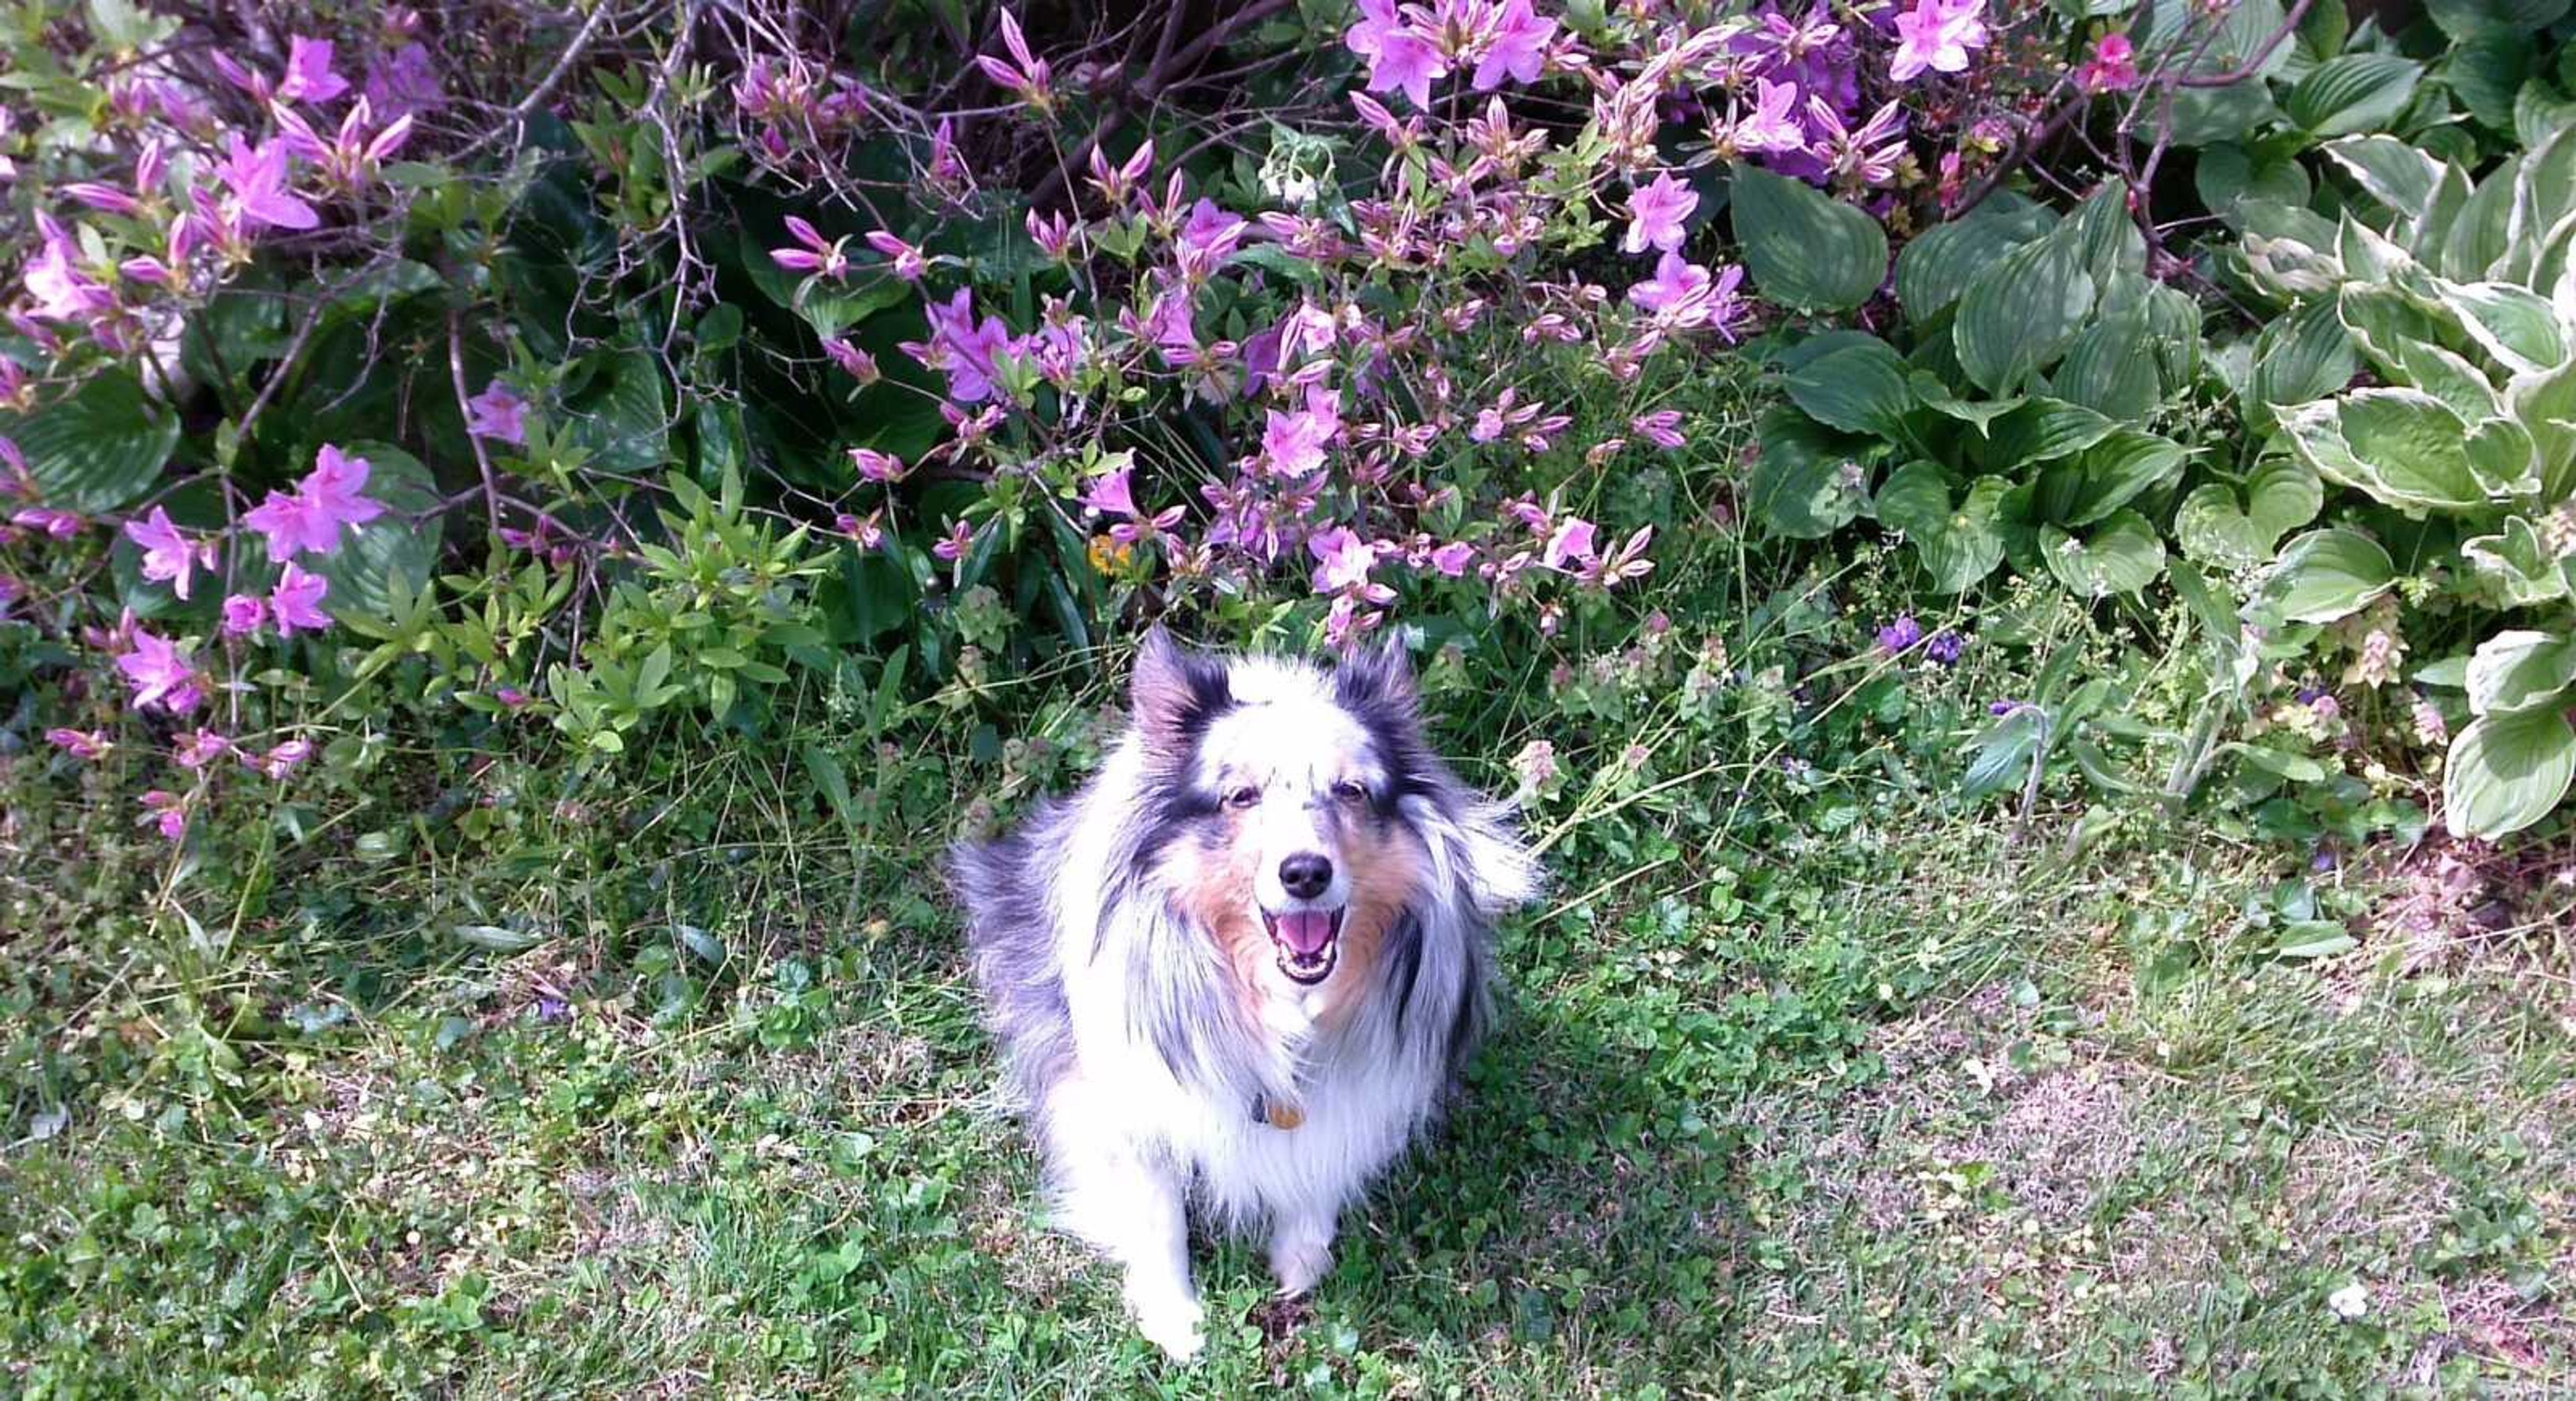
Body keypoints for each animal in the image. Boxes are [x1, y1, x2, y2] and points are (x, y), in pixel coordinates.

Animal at [958, 628, 1535, 1349]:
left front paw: (1301, 1265)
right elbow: (1159, 1212)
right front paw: (1175, 1319)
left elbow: (1319, 1169)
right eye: (1241, 797)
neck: (1279, 1004)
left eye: (1352, 791)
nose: (1305, 873)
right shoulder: (1125, 1098)